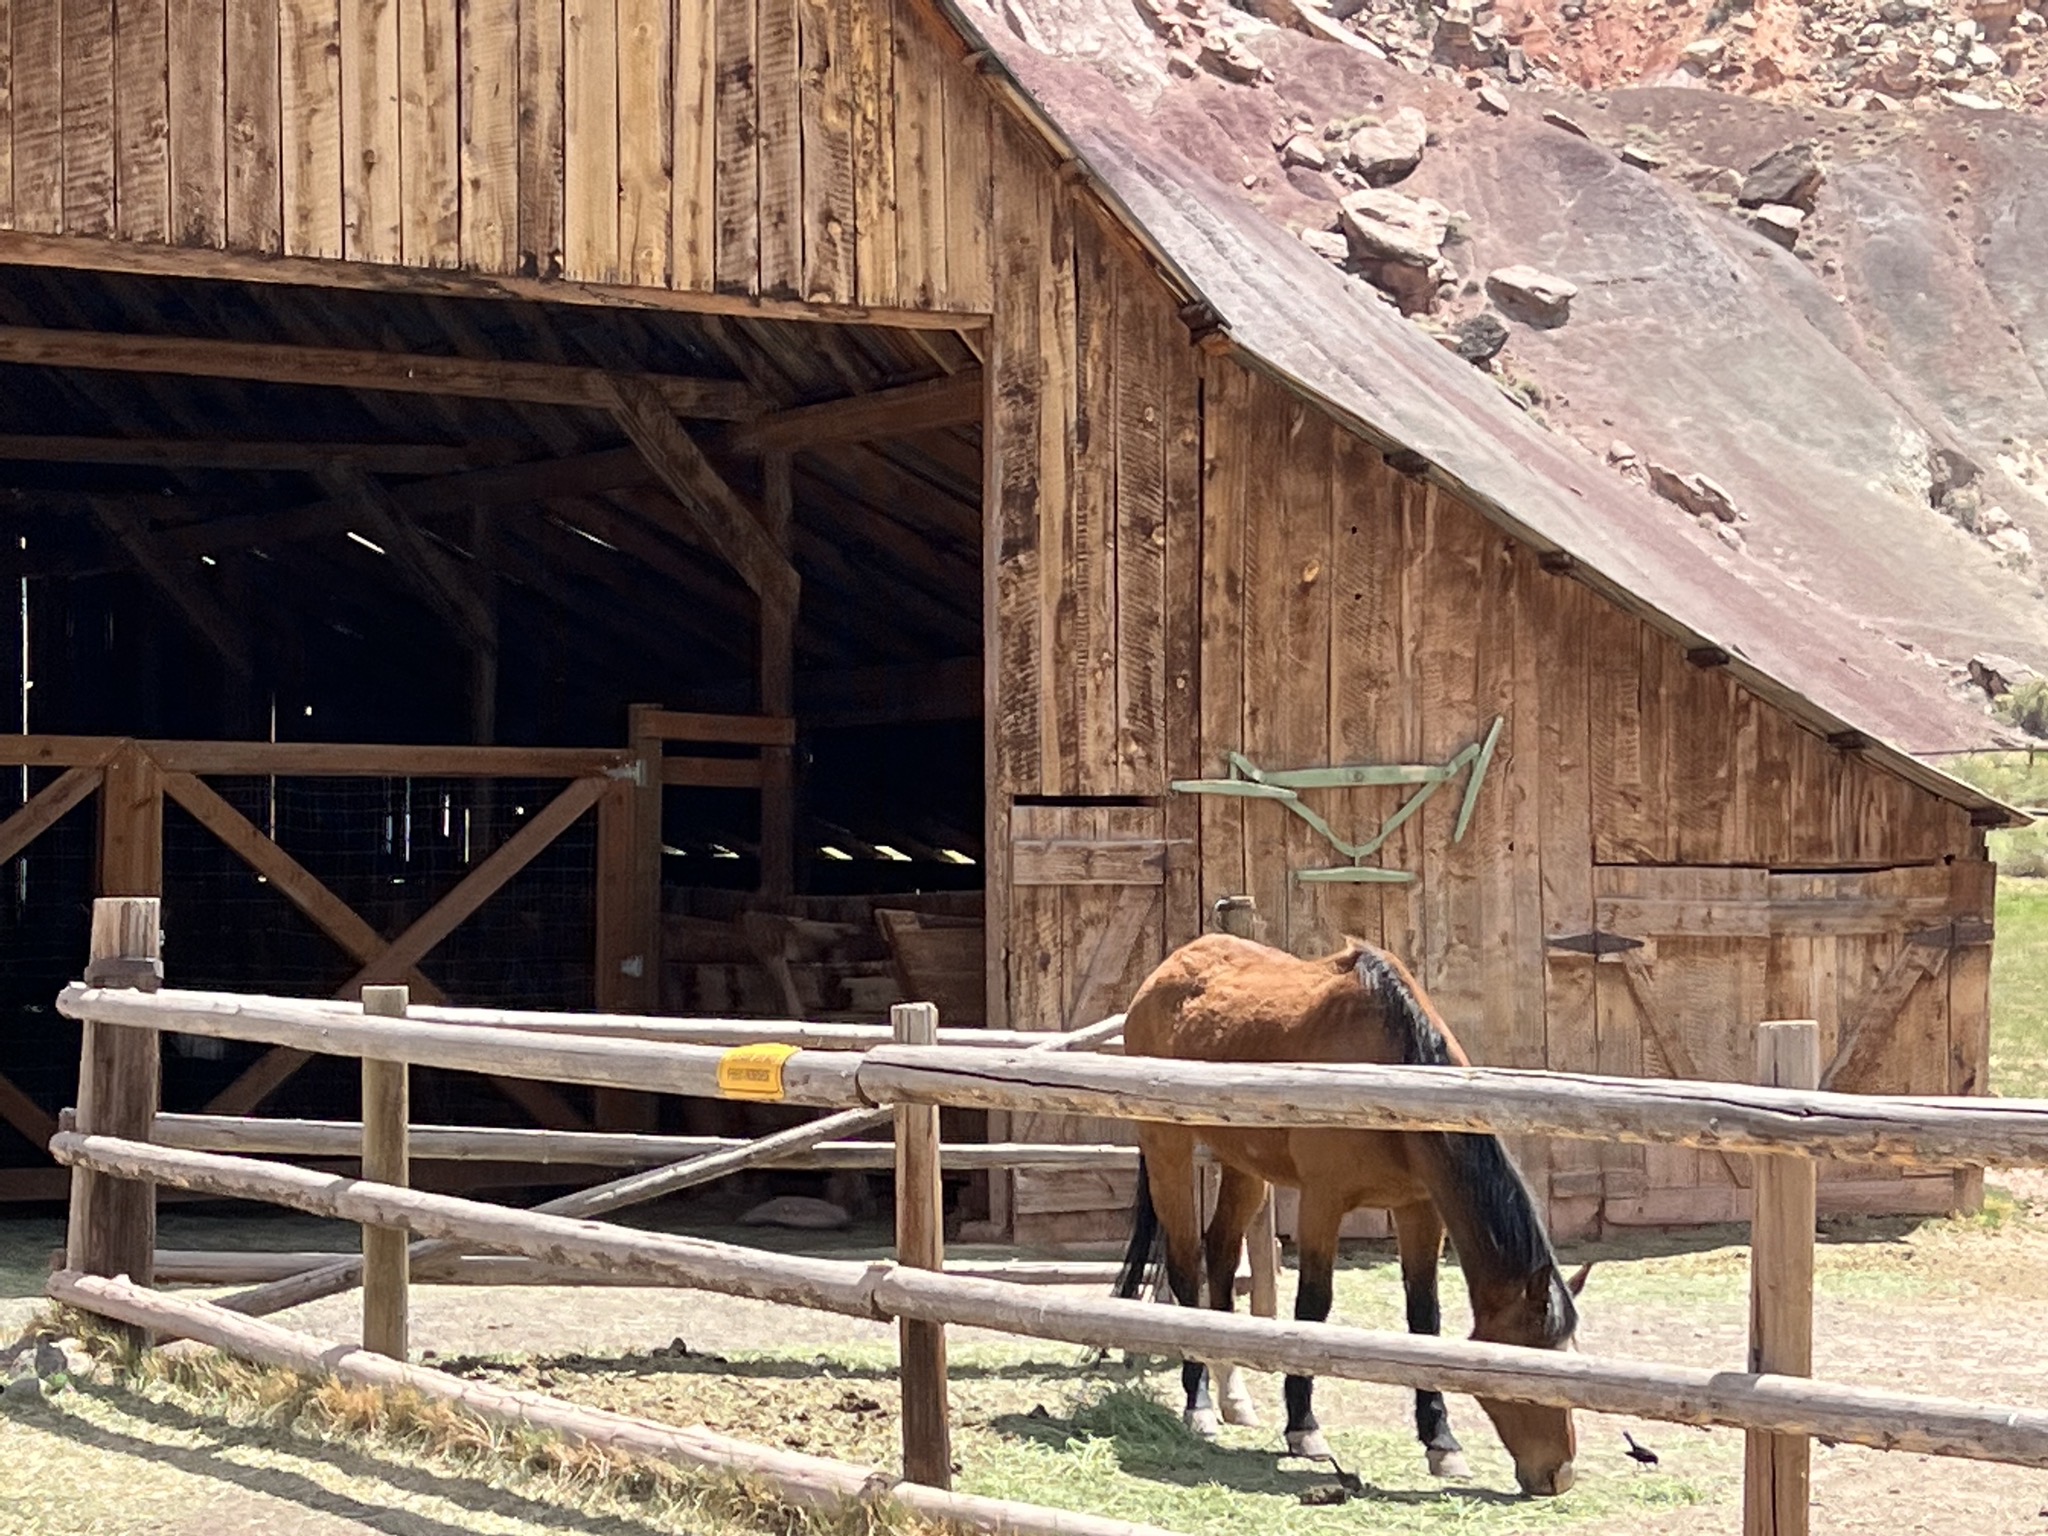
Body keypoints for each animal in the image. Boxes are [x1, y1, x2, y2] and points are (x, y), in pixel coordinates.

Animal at [1110, 932, 1587, 1497]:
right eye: (1532, 1368)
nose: (1559, 1475)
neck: (1392, 1074)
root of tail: (1167, 970)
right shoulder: (1323, 1200)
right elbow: (1312, 1308)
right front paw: (1304, 1429)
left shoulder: (1419, 1209)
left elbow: (1424, 1319)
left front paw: (1442, 1443)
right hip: (1169, 1148)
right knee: (1186, 1265)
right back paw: (1200, 1403)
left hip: (1243, 1164)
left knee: (1221, 1253)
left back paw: (1234, 1397)